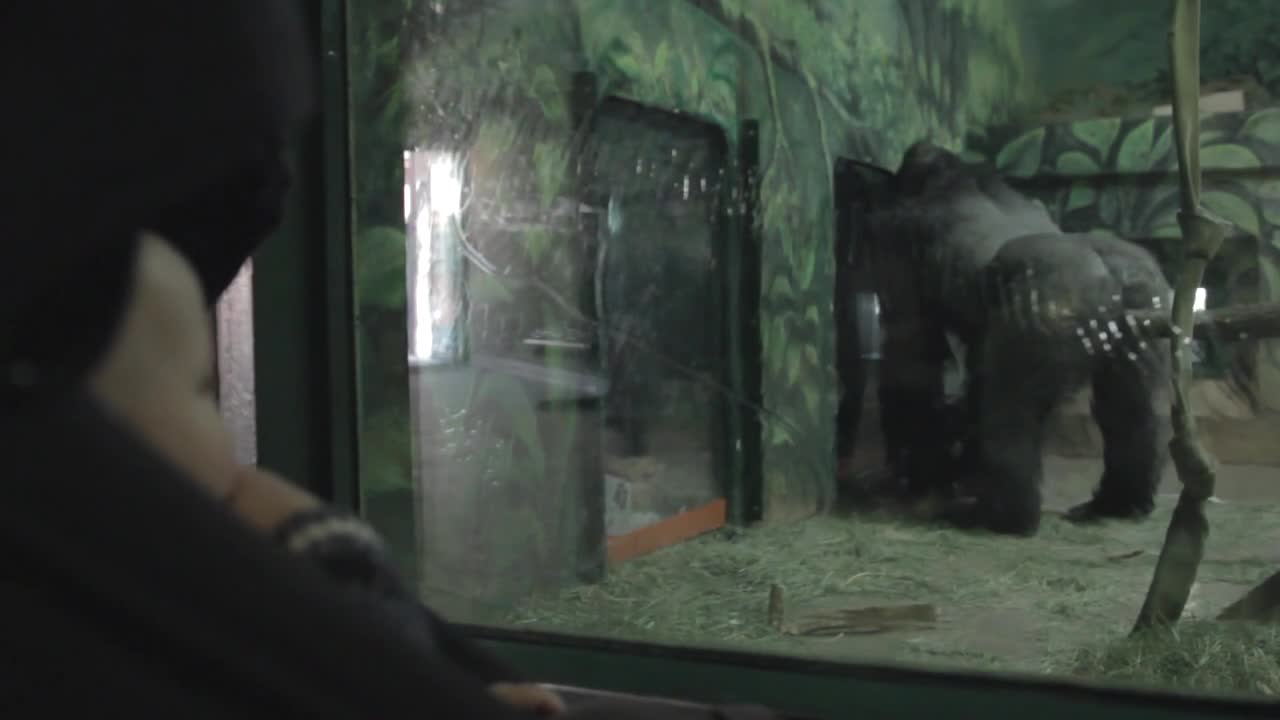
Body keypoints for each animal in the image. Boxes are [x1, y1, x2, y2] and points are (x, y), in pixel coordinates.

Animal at [870, 139, 1172, 532]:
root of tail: (1106, 273)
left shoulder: (895, 232)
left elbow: (909, 350)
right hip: (1145, 296)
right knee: (1137, 412)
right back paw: (1120, 502)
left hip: (1046, 308)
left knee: (1009, 412)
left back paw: (1004, 515)